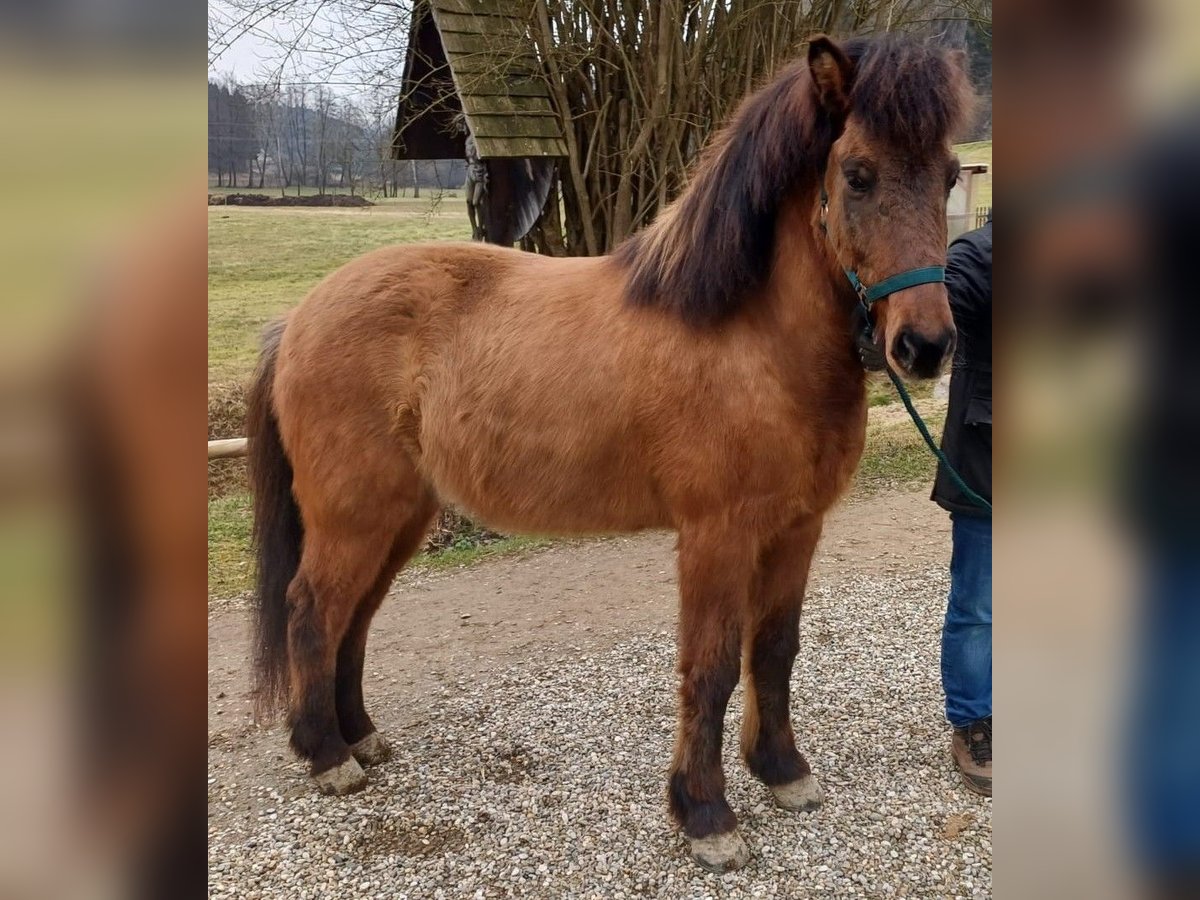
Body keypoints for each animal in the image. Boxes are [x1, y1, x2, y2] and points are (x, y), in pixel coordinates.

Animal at [246, 33, 973, 873]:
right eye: (856, 174)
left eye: (949, 174)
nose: (925, 347)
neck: (750, 338)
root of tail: (299, 316)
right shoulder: (717, 536)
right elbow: (712, 666)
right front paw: (706, 814)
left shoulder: (797, 527)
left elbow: (775, 650)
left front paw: (782, 771)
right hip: (355, 515)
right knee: (312, 610)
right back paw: (327, 756)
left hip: (401, 515)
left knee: (354, 617)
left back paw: (359, 735)